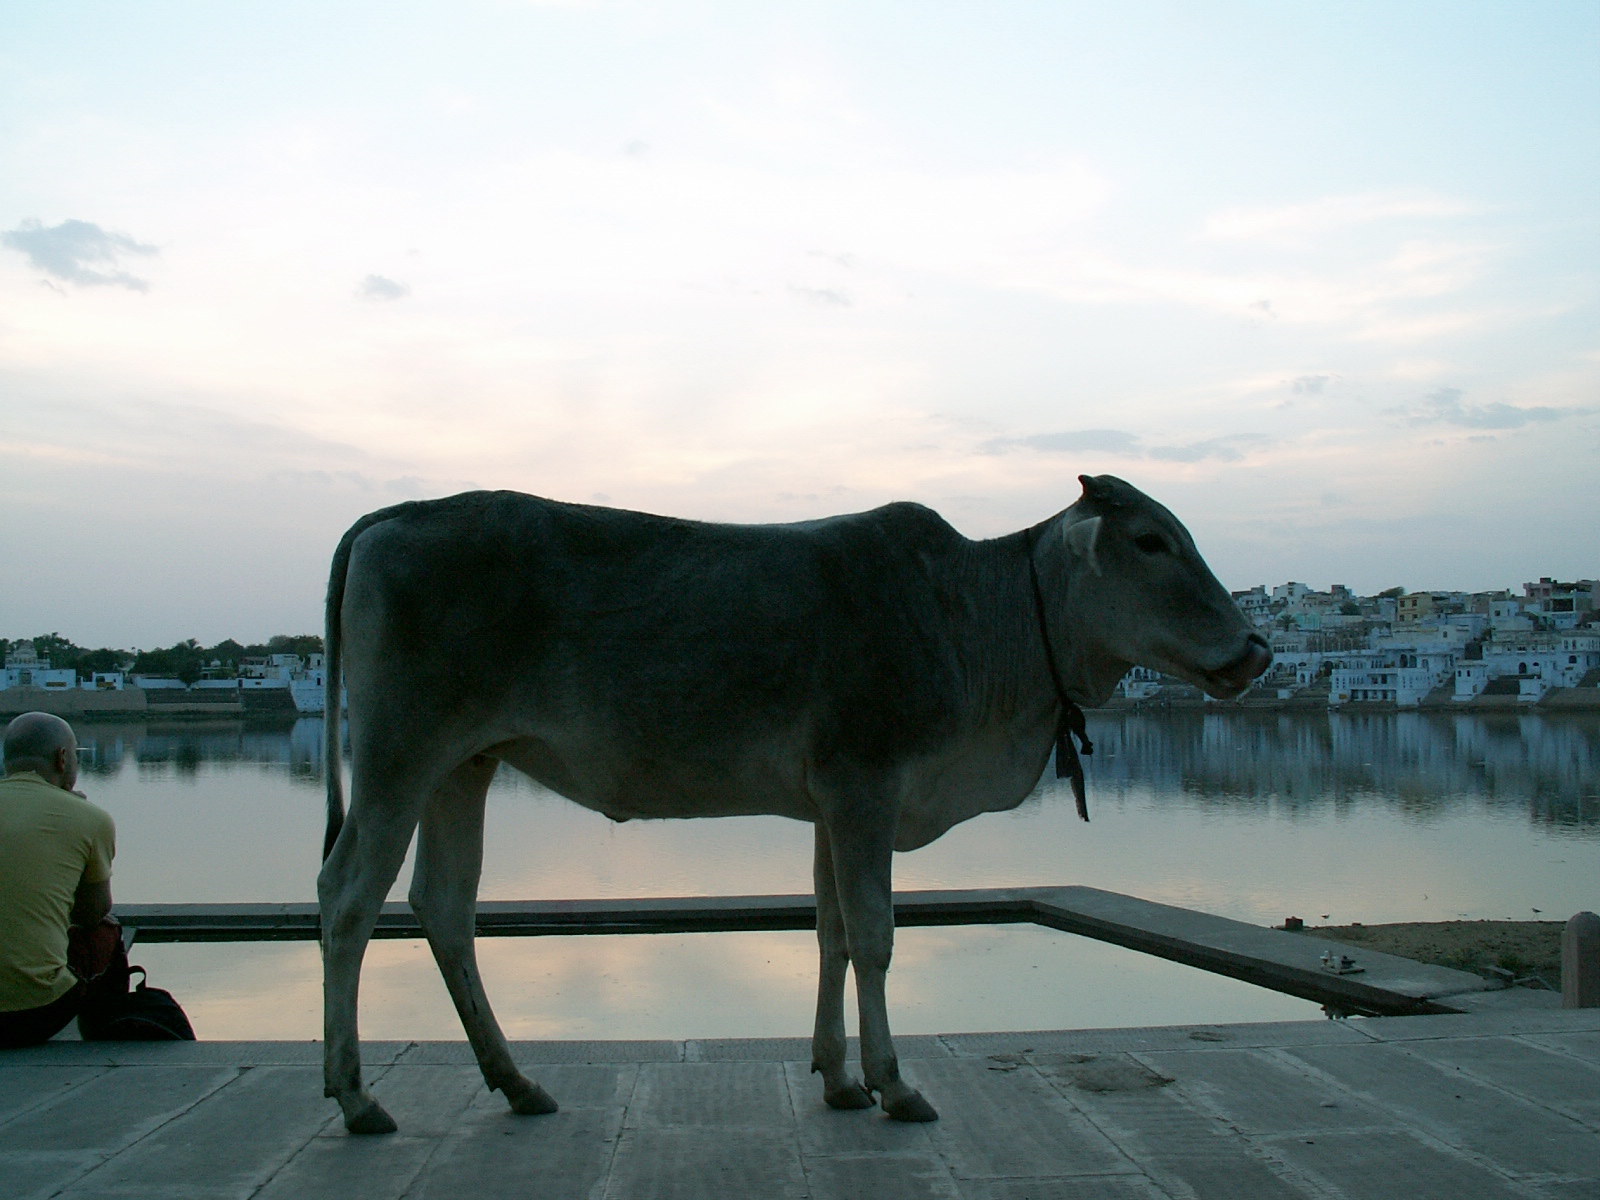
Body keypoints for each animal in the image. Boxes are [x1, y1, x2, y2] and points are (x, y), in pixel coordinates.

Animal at [317, 474, 1270, 1134]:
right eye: (1150, 541)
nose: (1256, 649)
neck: (972, 616)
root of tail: (397, 513)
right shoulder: (865, 786)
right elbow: (877, 937)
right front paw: (894, 1083)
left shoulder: (832, 805)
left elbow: (833, 931)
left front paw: (840, 1077)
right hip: (400, 757)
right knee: (347, 898)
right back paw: (357, 1097)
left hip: (463, 767)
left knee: (444, 906)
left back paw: (516, 1082)